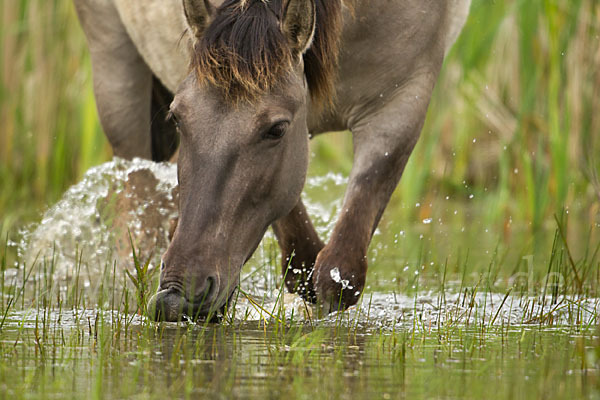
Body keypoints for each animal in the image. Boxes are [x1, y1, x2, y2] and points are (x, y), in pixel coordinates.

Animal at [74, 0, 468, 320]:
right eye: (178, 117)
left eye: (276, 130)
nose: (178, 297)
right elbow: (303, 256)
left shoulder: (400, 108)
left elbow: (339, 271)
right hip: (116, 75)